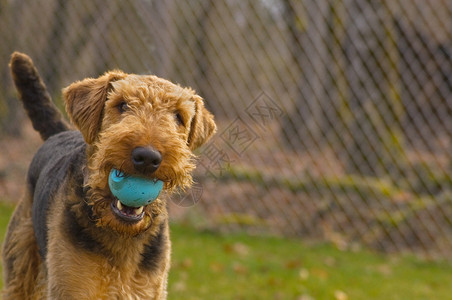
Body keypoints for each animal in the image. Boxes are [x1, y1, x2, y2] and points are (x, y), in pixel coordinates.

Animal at [1, 52, 216, 298]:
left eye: (179, 116)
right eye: (122, 104)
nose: (147, 157)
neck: (122, 238)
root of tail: (62, 133)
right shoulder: (71, 289)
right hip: (20, 266)